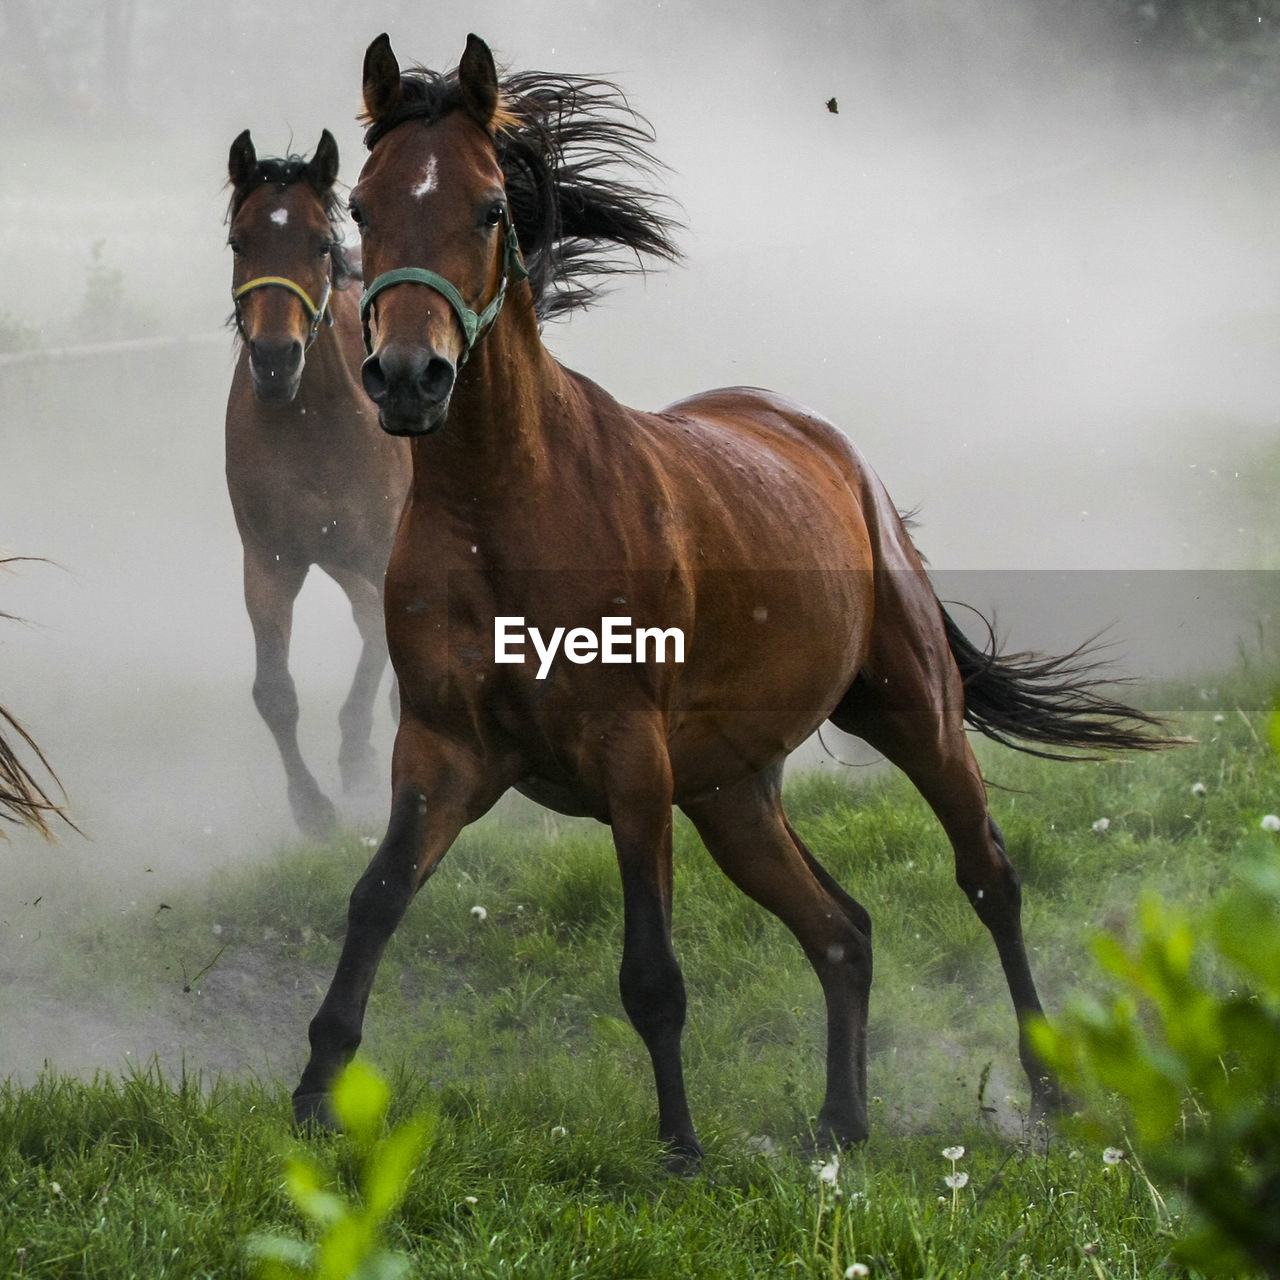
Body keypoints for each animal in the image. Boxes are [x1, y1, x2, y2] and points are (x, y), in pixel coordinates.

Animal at [225, 132, 409, 839]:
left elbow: (386, 637)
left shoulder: (383, 549)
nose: (276, 359)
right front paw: (311, 806)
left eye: (320, 245)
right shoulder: (271, 560)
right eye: (239, 242)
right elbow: (273, 691)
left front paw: (358, 757)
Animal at [294, 40, 1172, 1162]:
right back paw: (840, 1120)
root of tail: (834, 452)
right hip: (733, 796)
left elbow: (651, 973)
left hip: (911, 713)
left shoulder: (631, 762)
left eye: (490, 207)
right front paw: (313, 1098)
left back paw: (1048, 1084)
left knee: (987, 877)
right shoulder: (443, 754)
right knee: (842, 929)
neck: (507, 509)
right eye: (361, 208)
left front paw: (679, 1148)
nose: (409, 377)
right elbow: (373, 901)